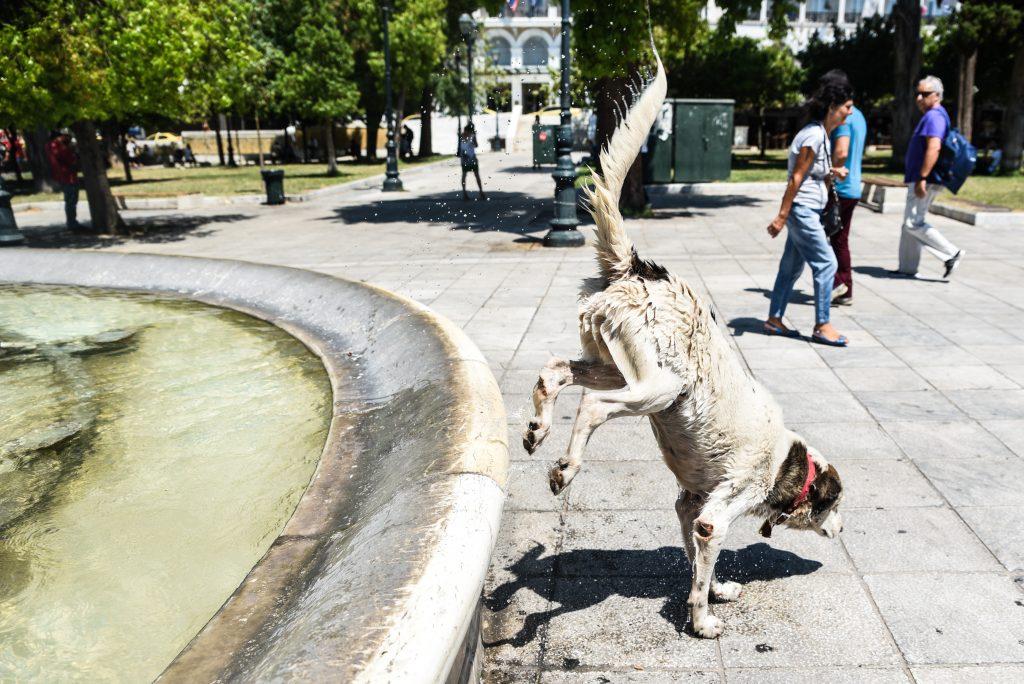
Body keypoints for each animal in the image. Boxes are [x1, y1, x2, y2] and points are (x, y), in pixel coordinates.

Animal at [524, 50, 843, 638]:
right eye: (835, 506)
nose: (844, 531)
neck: (785, 461)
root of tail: (639, 268)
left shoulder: (688, 504)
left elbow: (696, 563)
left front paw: (715, 592)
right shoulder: (716, 514)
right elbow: (703, 560)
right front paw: (702, 620)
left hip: (619, 363)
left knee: (555, 371)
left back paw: (537, 430)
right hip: (658, 387)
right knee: (593, 406)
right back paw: (566, 467)